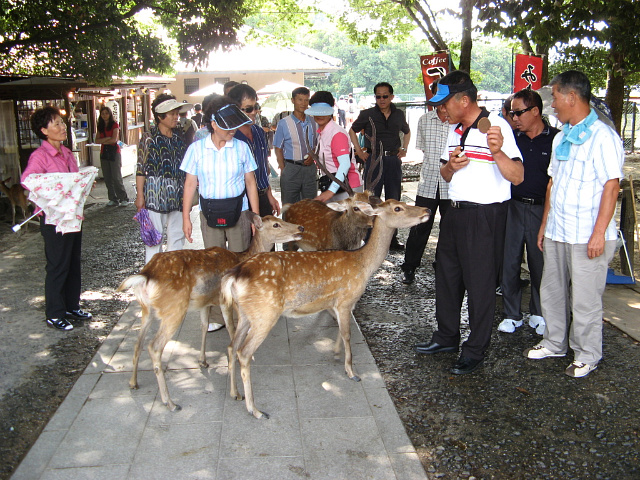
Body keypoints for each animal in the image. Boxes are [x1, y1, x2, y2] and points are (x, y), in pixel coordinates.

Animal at [119, 214, 304, 412]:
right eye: (276, 224)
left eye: (278, 218)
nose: (300, 228)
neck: (240, 257)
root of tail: (146, 275)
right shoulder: (225, 300)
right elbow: (231, 328)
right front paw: (238, 378)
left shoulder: (205, 302)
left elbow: (203, 326)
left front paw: (203, 361)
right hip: (174, 309)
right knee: (154, 347)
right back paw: (170, 402)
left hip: (146, 310)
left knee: (138, 342)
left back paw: (133, 382)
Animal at [218, 199, 432, 420]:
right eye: (398, 208)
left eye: (401, 203)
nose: (427, 210)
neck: (363, 265)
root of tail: (234, 275)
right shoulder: (346, 300)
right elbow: (347, 334)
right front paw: (351, 372)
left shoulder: (335, 303)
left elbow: (339, 329)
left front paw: (336, 353)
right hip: (265, 314)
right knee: (243, 352)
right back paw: (256, 410)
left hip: (245, 314)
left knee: (231, 346)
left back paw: (235, 393)